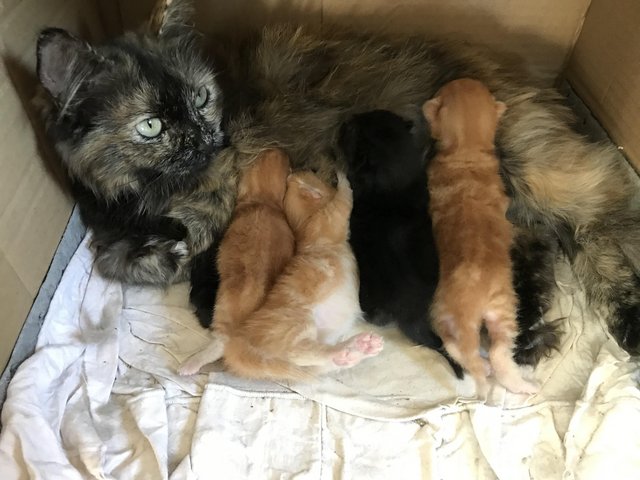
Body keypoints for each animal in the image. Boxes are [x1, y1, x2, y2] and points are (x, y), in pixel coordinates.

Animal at [222, 171, 382, 380]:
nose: (291, 174)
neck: (304, 227)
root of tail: (239, 343)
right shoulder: (332, 216)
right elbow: (344, 199)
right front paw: (343, 179)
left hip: (313, 350)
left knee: (318, 361)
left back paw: (356, 351)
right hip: (296, 326)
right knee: (302, 351)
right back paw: (350, 349)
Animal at [342, 109, 462, 378]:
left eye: (354, 131)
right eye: (371, 115)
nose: (348, 119)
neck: (394, 181)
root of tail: (414, 314)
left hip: (369, 297)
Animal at [424, 78, 540, 394]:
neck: (465, 153)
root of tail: (467, 309)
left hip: (442, 318)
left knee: (459, 351)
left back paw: (482, 366)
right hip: (504, 308)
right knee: (500, 353)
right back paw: (522, 385)